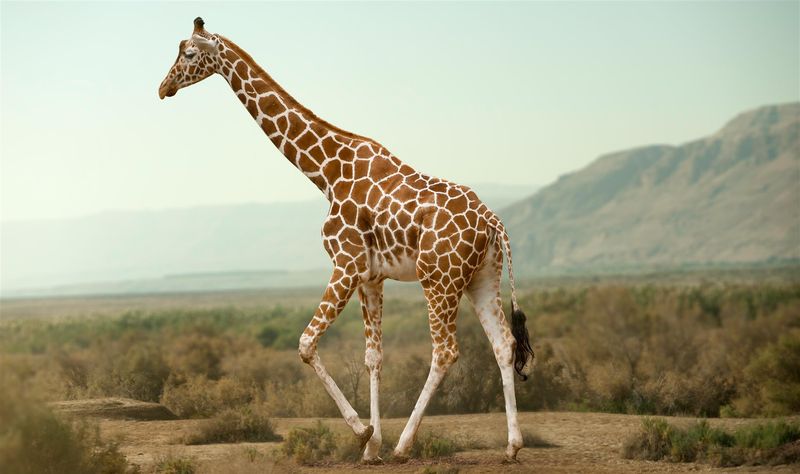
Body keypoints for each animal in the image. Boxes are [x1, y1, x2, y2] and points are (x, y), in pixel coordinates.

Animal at [159, 18, 535, 462]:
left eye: (188, 53)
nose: (163, 87)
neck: (325, 172)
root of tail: (493, 221)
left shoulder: (346, 264)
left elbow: (306, 344)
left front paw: (363, 431)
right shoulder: (371, 277)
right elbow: (373, 358)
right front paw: (371, 448)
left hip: (438, 279)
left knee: (445, 351)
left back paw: (405, 446)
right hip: (481, 278)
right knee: (504, 344)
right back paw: (512, 445)